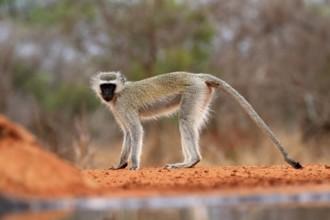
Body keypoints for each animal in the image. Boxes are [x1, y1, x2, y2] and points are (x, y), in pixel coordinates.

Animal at [90, 71, 302, 169]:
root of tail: (198, 76)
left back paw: (191, 161)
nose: (106, 94)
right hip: (202, 95)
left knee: (184, 120)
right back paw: (188, 161)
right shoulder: (117, 109)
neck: (118, 94)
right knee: (190, 123)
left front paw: (134, 165)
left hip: (194, 92)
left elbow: (136, 130)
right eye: (104, 86)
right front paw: (120, 165)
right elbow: (128, 133)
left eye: (110, 86)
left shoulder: (124, 105)